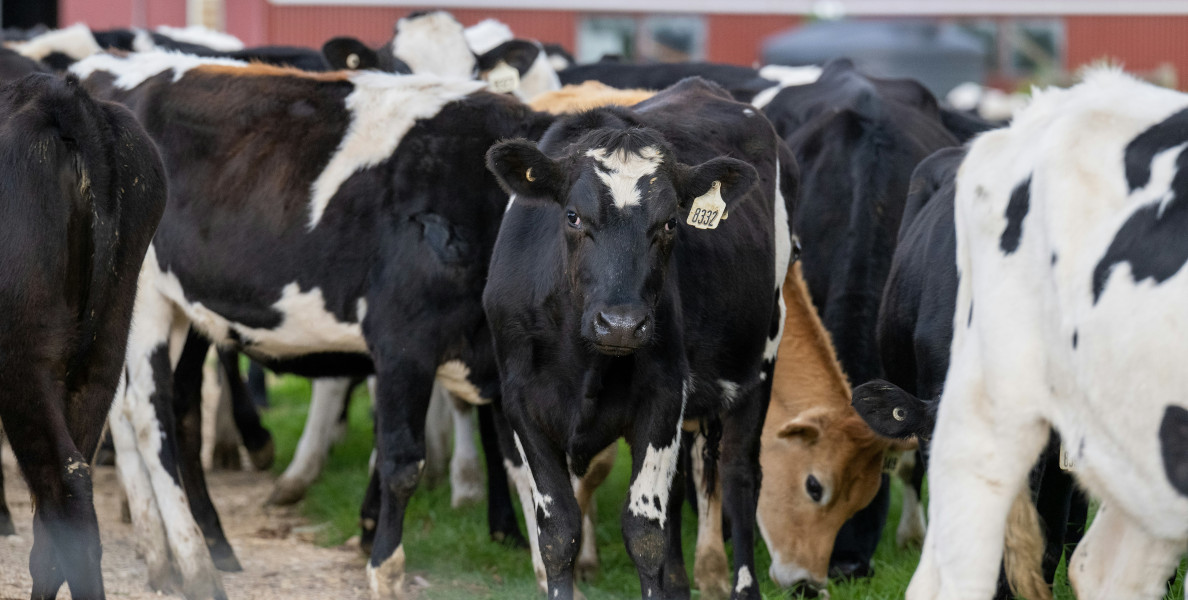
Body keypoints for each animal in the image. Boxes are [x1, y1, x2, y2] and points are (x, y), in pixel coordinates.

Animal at [71, 52, 553, 598]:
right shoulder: (403, 342)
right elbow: (402, 463)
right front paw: (384, 569)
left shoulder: (503, 365)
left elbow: (528, 471)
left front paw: (546, 573)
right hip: (146, 297)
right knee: (150, 417)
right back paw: (195, 565)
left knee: (138, 409)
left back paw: (162, 555)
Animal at [477, 76, 793, 598]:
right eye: (572, 216)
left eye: (669, 223)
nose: (622, 324)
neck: (583, 361)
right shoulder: (521, 401)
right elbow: (558, 531)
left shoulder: (664, 396)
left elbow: (645, 532)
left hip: (759, 366)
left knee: (739, 476)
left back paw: (745, 586)